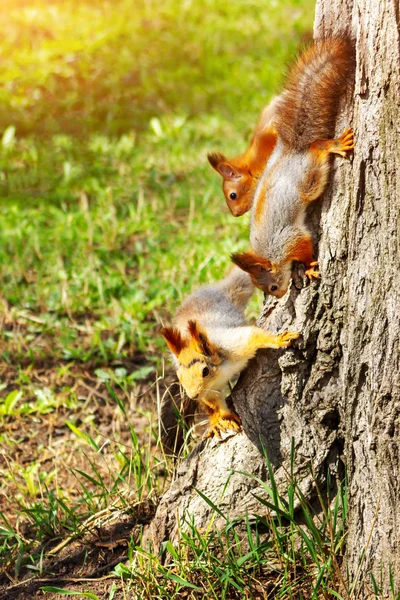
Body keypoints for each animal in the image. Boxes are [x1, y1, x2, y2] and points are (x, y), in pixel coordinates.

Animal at [161, 268, 298, 436]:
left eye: (205, 371)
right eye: (180, 376)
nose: (193, 395)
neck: (220, 372)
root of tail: (217, 289)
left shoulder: (234, 346)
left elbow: (253, 335)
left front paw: (278, 340)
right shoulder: (209, 391)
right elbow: (215, 403)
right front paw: (225, 418)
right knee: (207, 406)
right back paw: (214, 421)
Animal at [223, 38, 354, 298]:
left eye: (273, 286)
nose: (281, 294)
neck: (271, 255)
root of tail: (290, 151)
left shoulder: (289, 241)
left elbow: (304, 246)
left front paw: (309, 267)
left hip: (310, 177)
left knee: (317, 148)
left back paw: (331, 145)